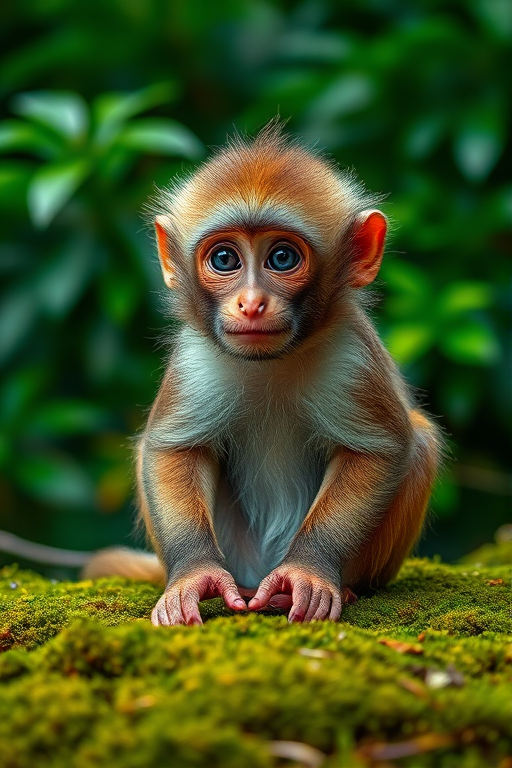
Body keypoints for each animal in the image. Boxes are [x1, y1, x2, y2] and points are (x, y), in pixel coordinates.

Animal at [84, 122, 441, 626]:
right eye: (225, 260)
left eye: (283, 258)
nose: (251, 303)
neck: (270, 363)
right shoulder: (195, 360)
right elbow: (172, 450)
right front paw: (193, 574)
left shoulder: (351, 356)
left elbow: (379, 451)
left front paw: (309, 571)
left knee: (422, 439)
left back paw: (337, 588)